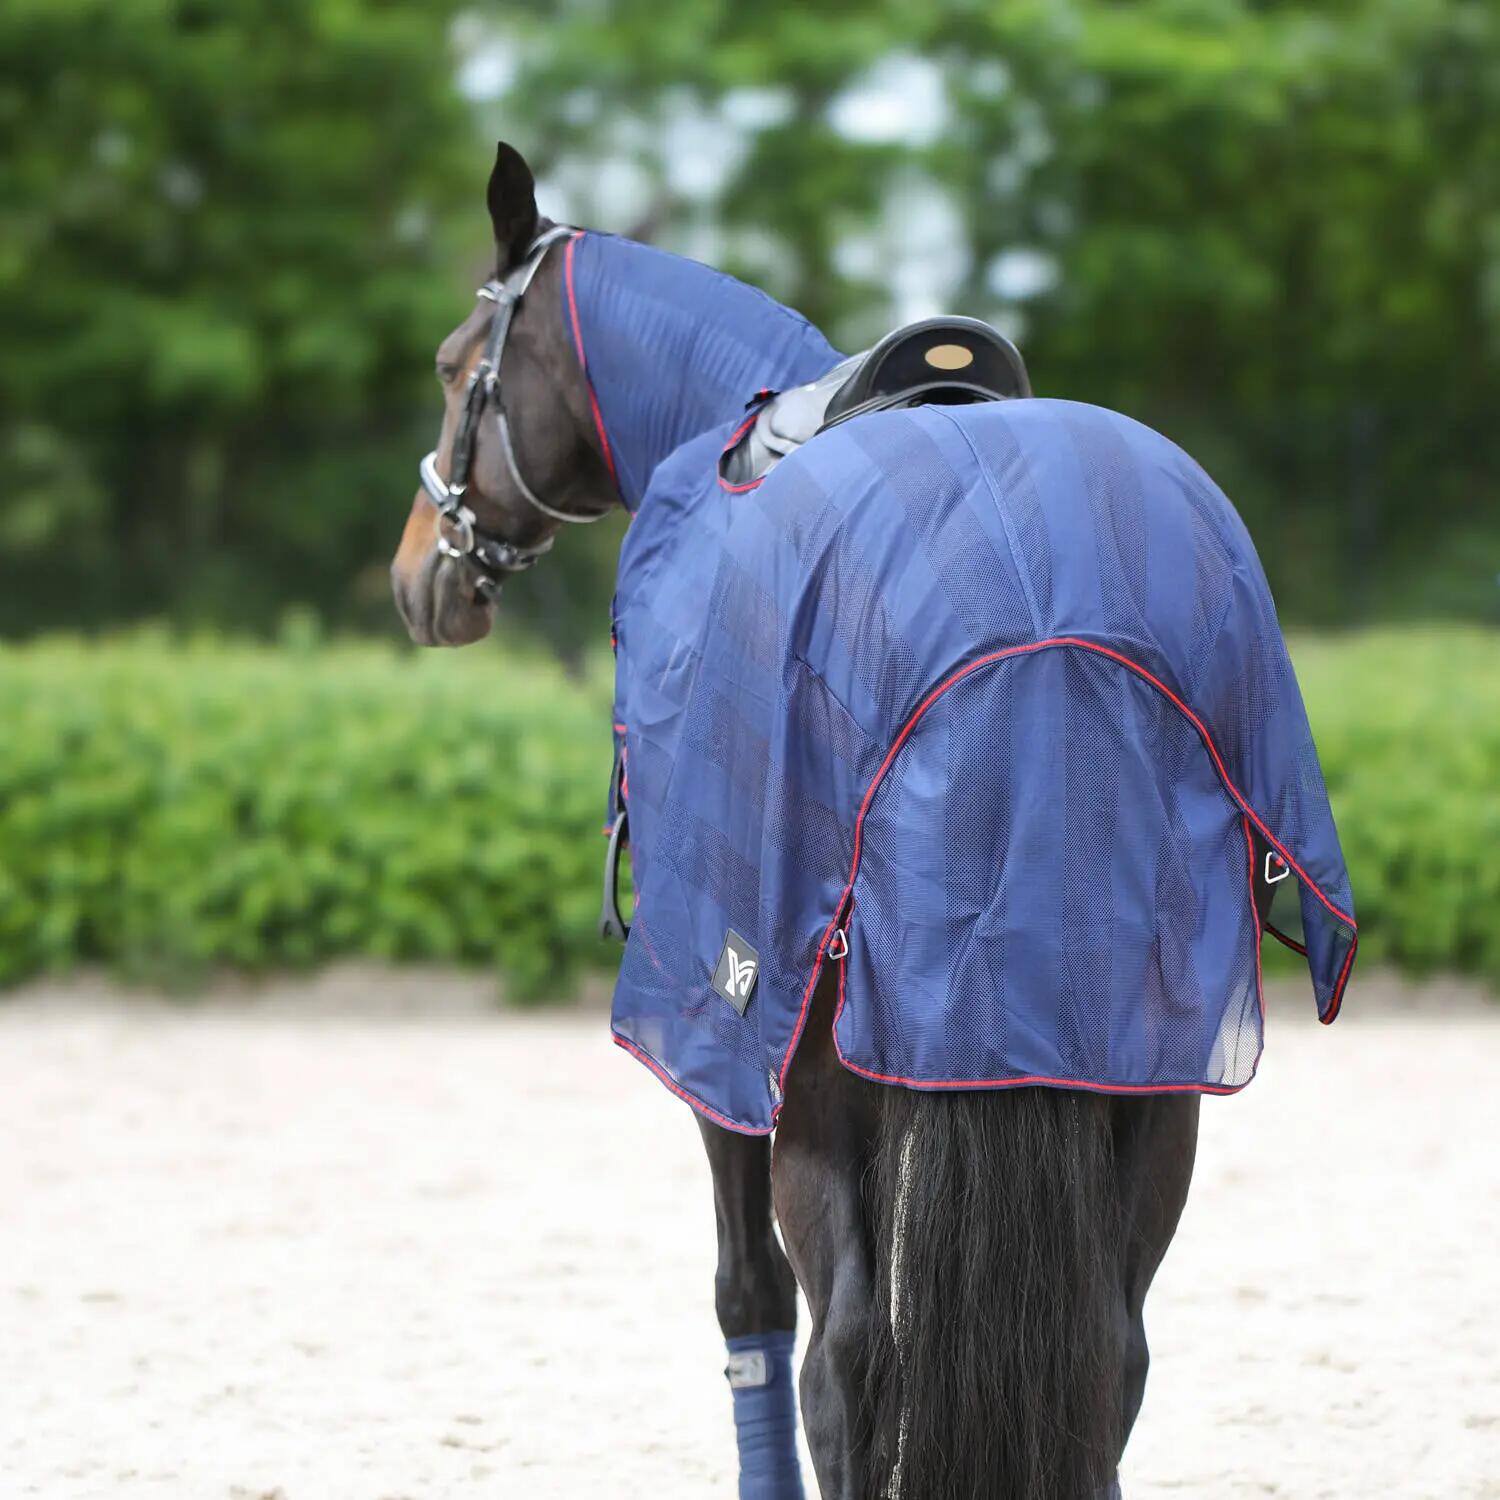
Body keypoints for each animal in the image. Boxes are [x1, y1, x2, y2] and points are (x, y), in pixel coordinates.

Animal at [390, 143, 1356, 1500]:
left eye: (449, 364)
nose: (420, 571)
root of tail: (1029, 638)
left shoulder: (723, 1039)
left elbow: (750, 1301)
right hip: (1145, 1063)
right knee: (1109, 1355)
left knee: (842, 1360)